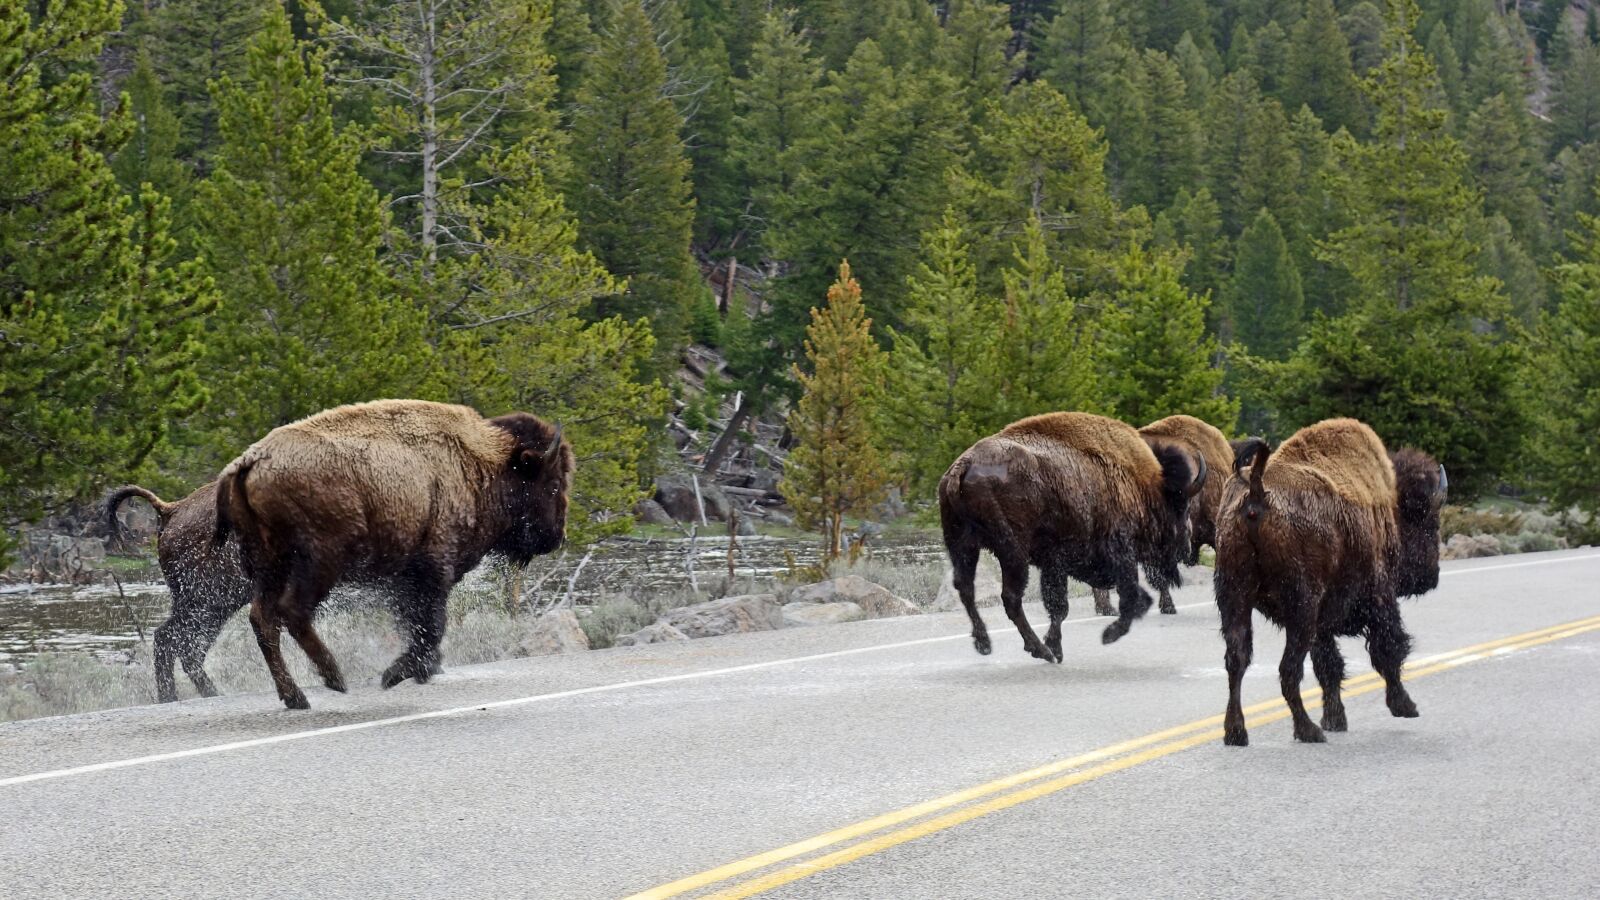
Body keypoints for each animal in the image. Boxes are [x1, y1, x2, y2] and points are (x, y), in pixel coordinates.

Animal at [213, 399, 573, 709]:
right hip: (318, 563)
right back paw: (334, 678)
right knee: (293, 612)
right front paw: (398, 673)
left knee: (263, 620)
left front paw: (420, 671)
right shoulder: (433, 570)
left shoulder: (405, 580)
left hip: (268, 567)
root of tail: (250, 461)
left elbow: (416, 624)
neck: (481, 460)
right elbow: (431, 625)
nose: (558, 536)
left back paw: (296, 697)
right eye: (553, 484)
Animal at [939, 412, 1206, 662]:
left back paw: (985, 643)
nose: (1186, 546)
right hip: (1012, 553)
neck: (1139, 488)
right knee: (1010, 598)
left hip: (962, 545)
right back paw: (1039, 650)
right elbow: (1127, 599)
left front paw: (1057, 647)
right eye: (1182, 508)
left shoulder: (1055, 563)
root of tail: (963, 465)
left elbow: (1059, 606)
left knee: (966, 589)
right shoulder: (1115, 555)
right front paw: (1103, 636)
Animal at [1214, 418, 1446, 746]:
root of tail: (1256, 492)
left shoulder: (1323, 624)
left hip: (1234, 598)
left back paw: (1236, 732)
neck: (1386, 502)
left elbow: (1329, 665)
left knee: (1237, 660)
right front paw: (1404, 706)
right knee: (1289, 668)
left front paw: (1335, 719)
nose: (1431, 576)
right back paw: (1308, 730)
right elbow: (1387, 648)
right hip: (1301, 608)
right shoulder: (1380, 596)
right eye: (1428, 521)